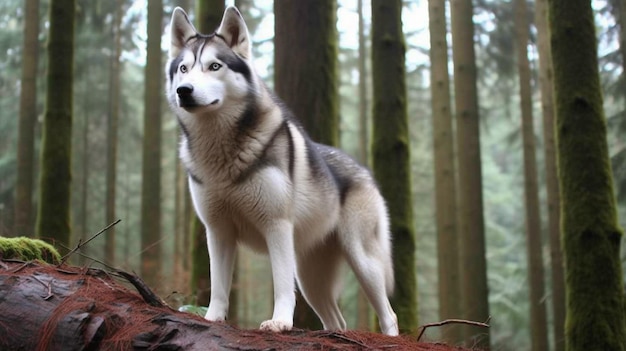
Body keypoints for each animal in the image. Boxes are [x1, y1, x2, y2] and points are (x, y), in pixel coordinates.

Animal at [166, 5, 398, 336]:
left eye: (214, 66)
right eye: (184, 69)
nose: (184, 91)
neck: (222, 152)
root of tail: (365, 171)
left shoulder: (276, 226)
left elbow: (281, 286)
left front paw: (280, 322)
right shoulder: (218, 231)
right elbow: (219, 286)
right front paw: (212, 318)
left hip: (361, 261)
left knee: (389, 315)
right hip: (310, 276)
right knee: (336, 320)